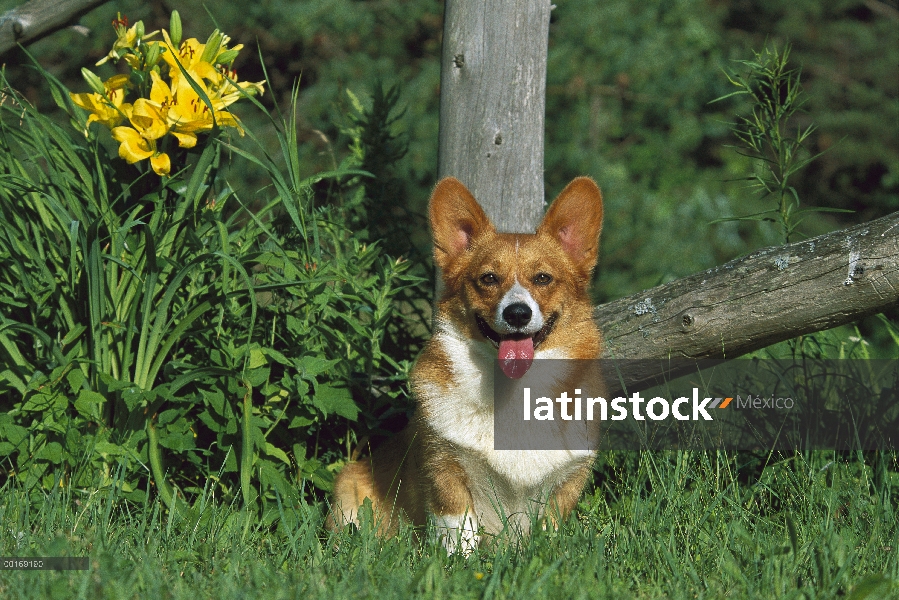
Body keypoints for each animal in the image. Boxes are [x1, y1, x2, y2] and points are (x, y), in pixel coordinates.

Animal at [328, 177, 604, 552]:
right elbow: (458, 530)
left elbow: (550, 526)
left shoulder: (566, 482)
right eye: (488, 278)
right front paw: (459, 562)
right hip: (349, 492)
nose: (518, 314)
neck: (513, 391)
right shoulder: (445, 467)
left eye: (543, 278)